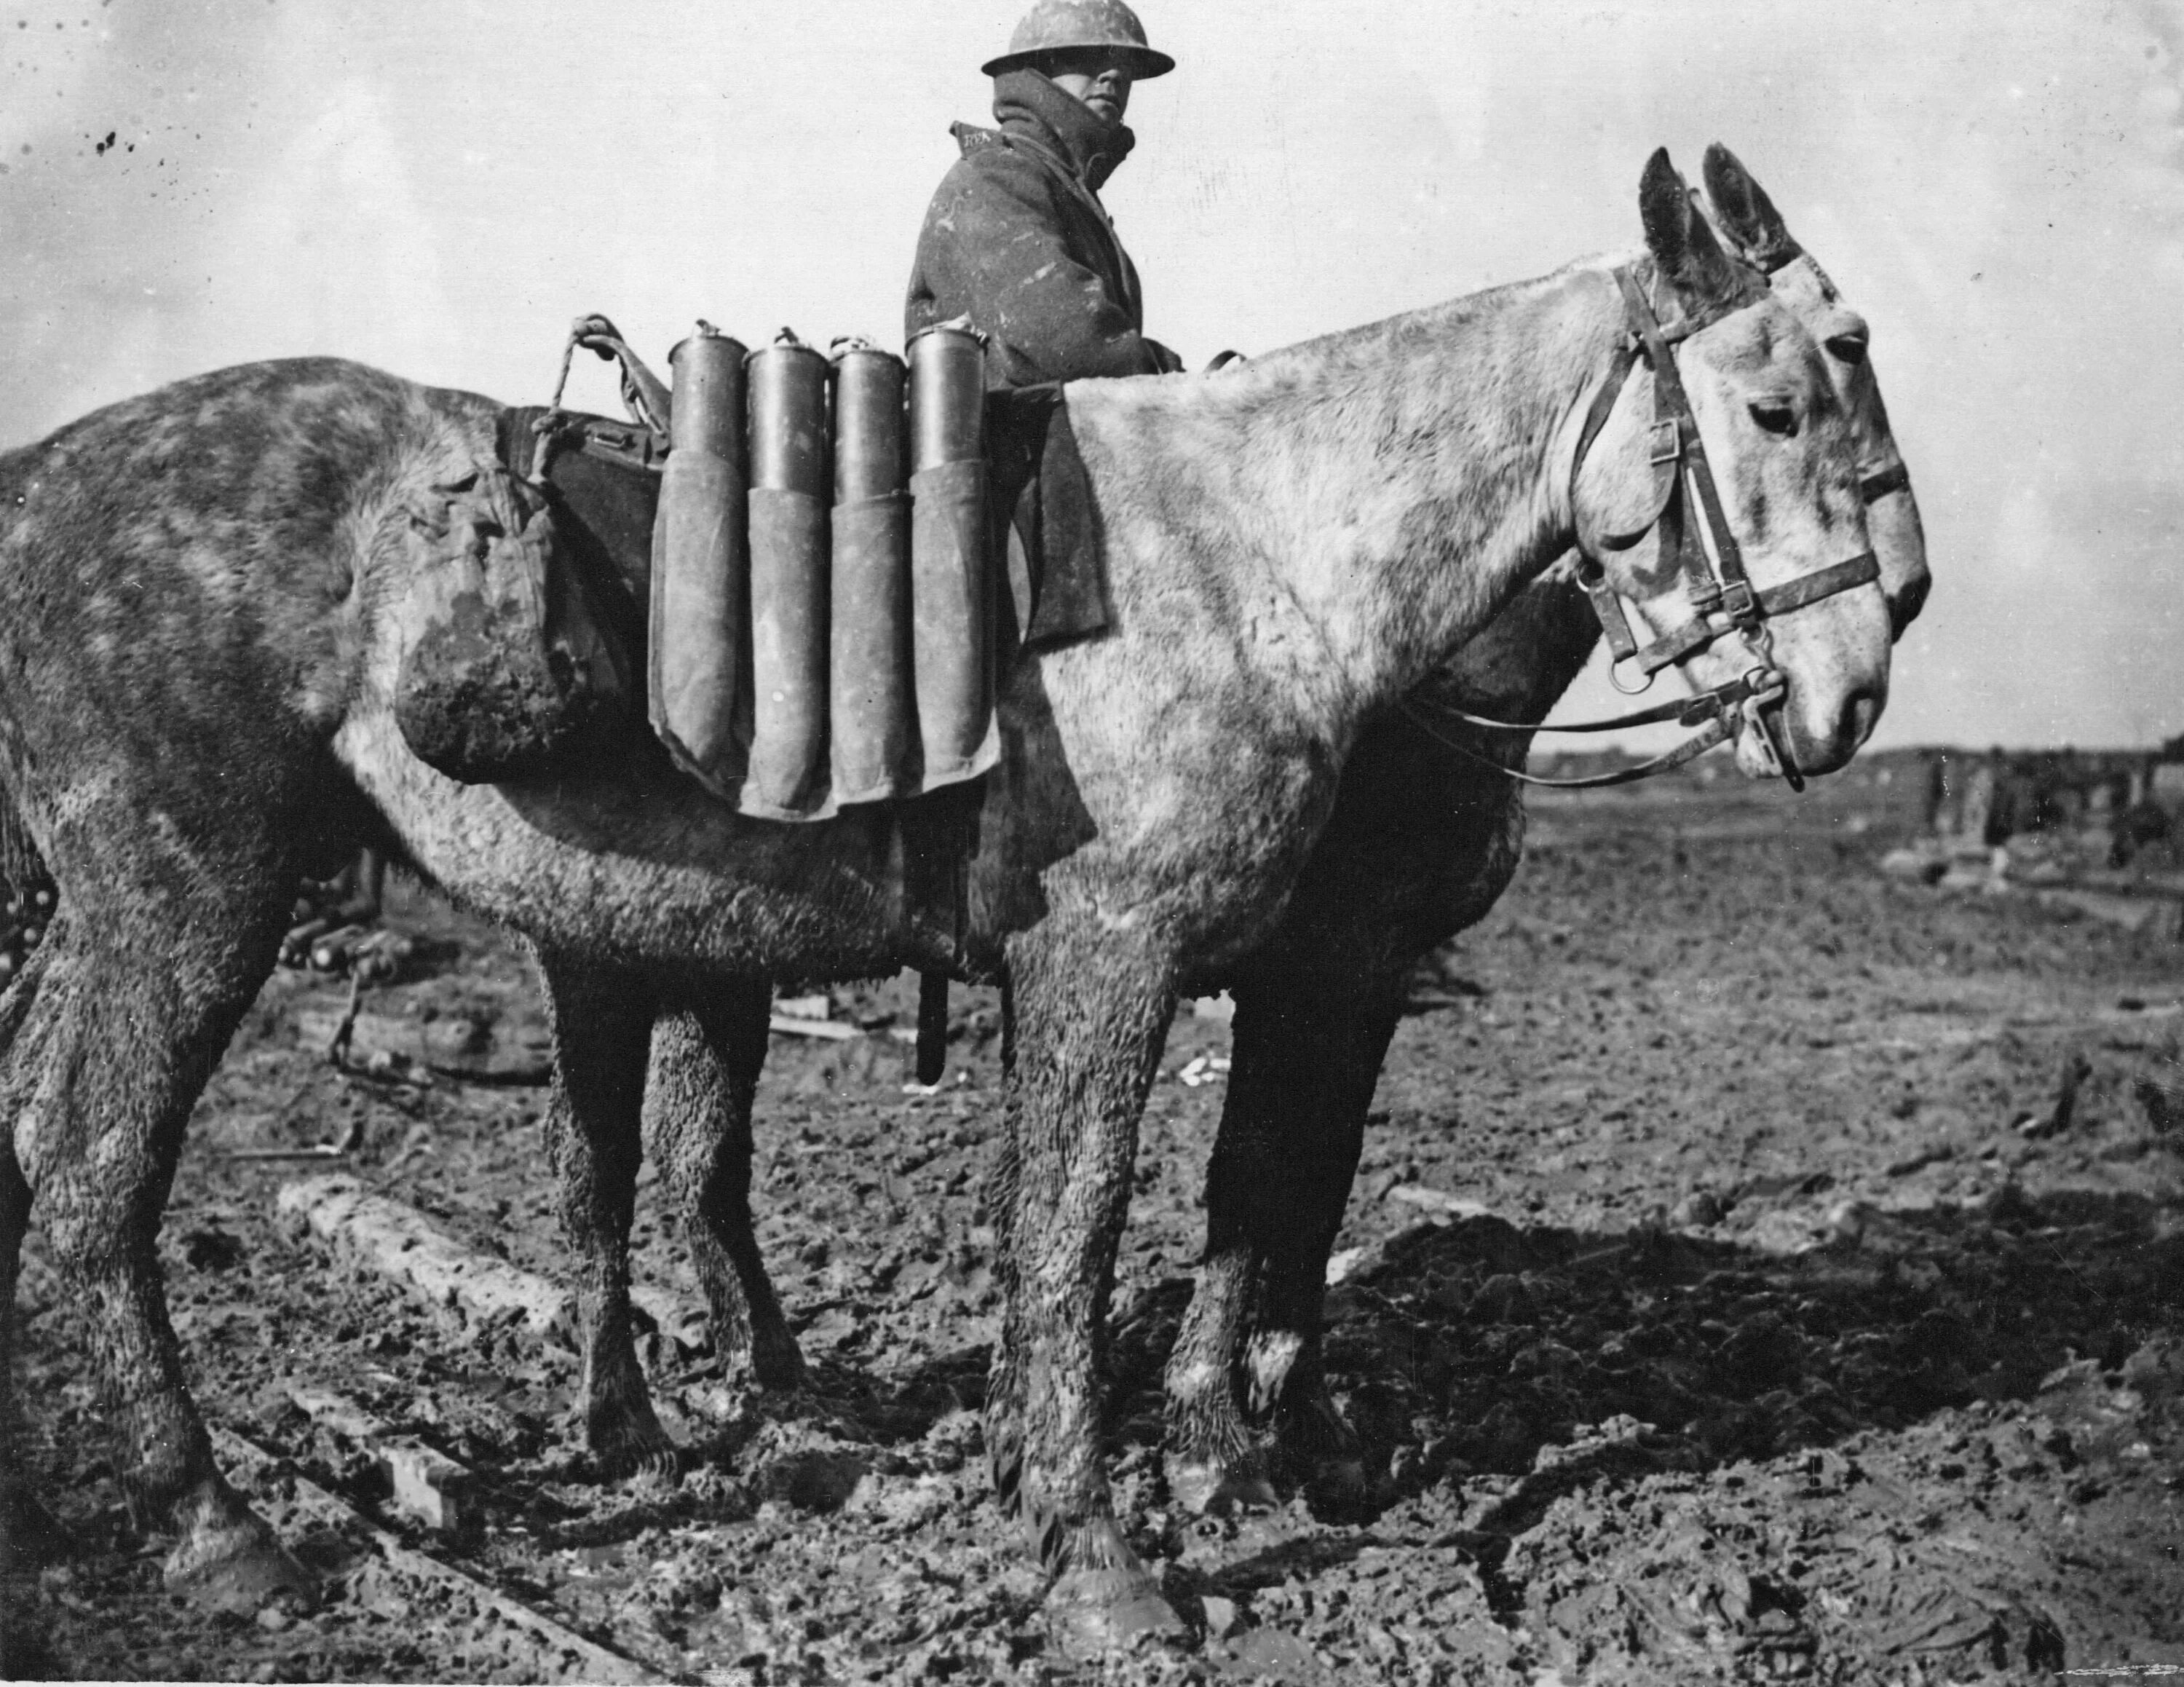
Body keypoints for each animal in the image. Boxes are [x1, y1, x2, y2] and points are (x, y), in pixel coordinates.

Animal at [0, 145, 1887, 1643]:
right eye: (1780, 404)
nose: (1854, 686)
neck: (1264, 562)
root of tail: (38, 480)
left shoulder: (1295, 982)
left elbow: (1256, 1205)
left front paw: (1229, 1458)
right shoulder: (1140, 965)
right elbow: (1092, 1229)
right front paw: (1103, 1548)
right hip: (192, 906)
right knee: (96, 1183)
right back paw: (216, 1528)